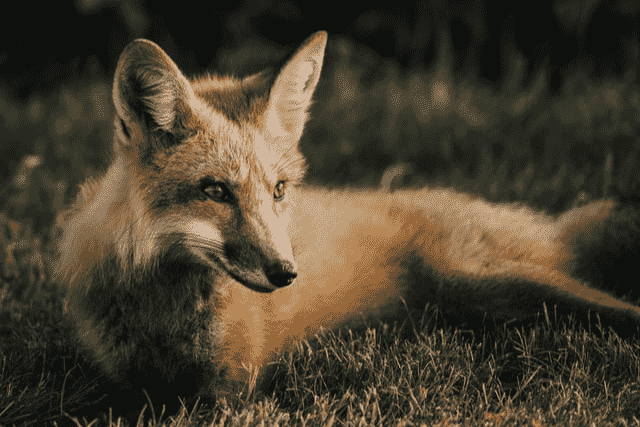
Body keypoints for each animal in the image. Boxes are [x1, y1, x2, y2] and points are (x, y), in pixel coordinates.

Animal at [56, 31, 640, 407]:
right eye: (215, 191)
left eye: (279, 190)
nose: (286, 274)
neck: (165, 314)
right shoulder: (117, 385)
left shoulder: (231, 388)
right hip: (495, 302)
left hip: (502, 281)